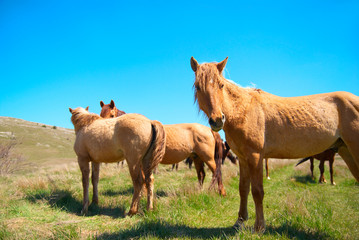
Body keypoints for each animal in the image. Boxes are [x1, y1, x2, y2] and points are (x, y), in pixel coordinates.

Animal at [191, 57, 359, 232]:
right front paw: (240, 221)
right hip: (346, 151)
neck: (244, 110)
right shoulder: (243, 159)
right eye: (198, 86)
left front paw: (259, 227)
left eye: (221, 85)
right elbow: (243, 189)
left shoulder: (255, 156)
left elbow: (257, 191)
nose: (217, 120)